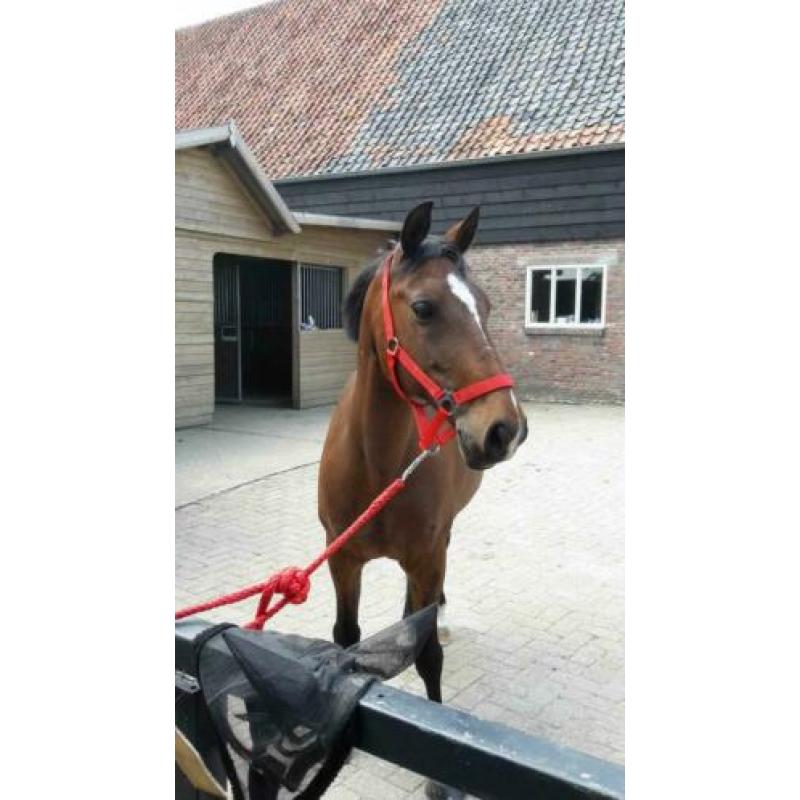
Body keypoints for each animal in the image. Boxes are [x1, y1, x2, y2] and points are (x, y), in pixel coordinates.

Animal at [318, 201, 528, 709]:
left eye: (486, 306)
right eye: (423, 308)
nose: (505, 428)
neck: (377, 470)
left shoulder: (427, 558)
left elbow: (429, 656)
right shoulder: (341, 560)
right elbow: (346, 638)